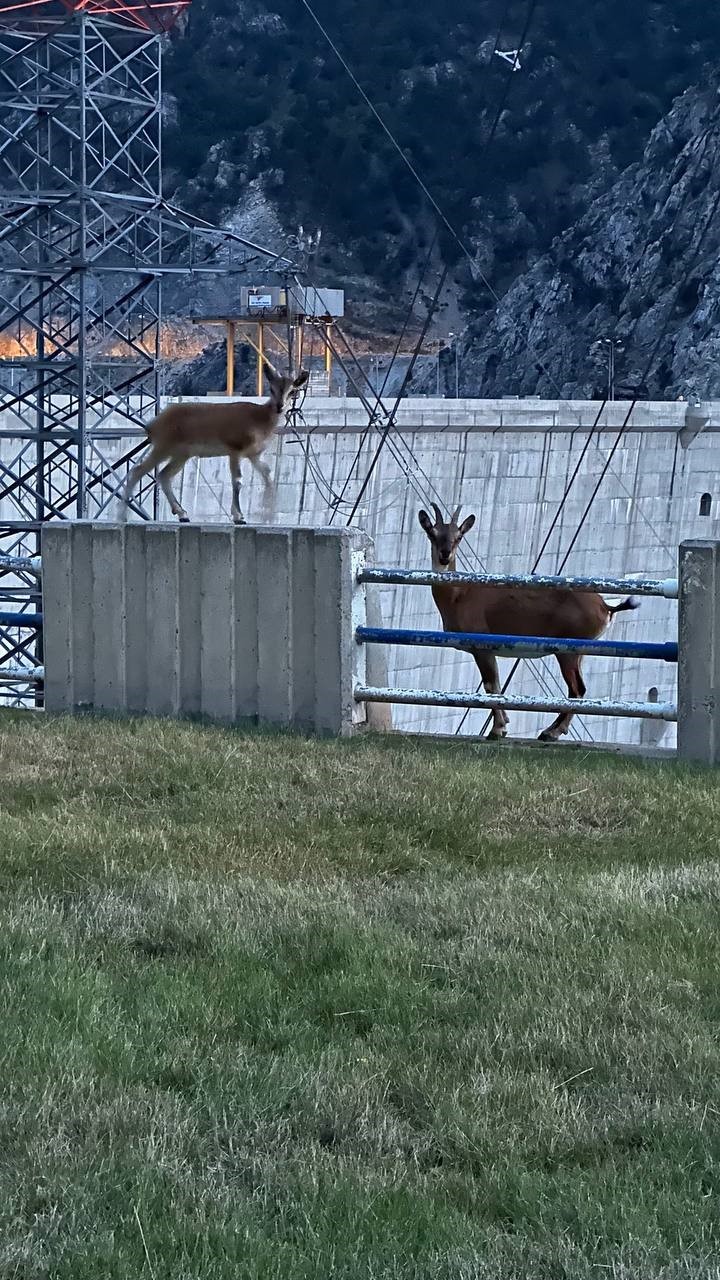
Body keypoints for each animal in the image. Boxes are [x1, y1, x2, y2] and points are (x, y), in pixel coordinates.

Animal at [417, 499, 635, 742]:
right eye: (432, 533)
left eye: (459, 536)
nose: (445, 555)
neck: (459, 595)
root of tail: (605, 606)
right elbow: (497, 686)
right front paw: (504, 724)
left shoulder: (482, 647)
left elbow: (491, 687)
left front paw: (497, 729)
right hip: (579, 653)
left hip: (568, 651)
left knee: (577, 689)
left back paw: (551, 732)